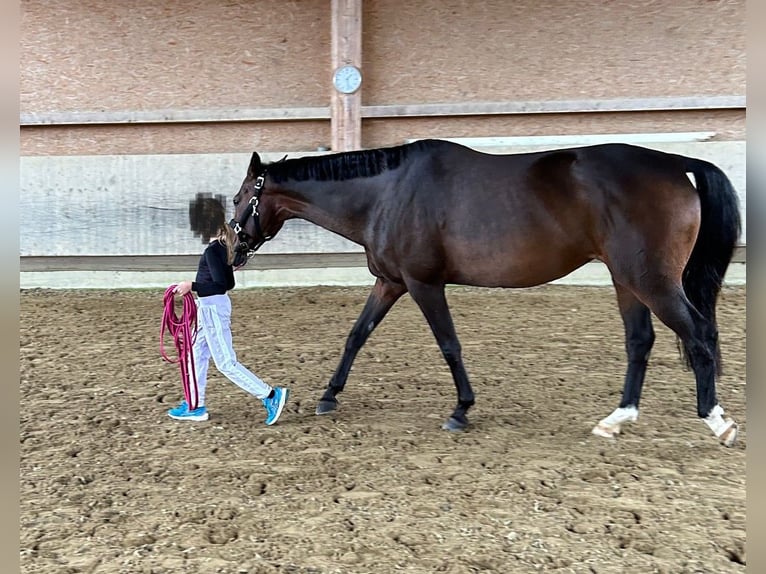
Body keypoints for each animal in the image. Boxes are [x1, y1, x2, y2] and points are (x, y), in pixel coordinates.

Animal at [230, 142, 744, 448]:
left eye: (238, 199)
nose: (230, 249)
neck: (387, 193)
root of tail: (678, 164)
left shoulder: (423, 283)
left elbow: (449, 345)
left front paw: (461, 410)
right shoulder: (390, 282)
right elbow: (356, 336)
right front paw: (329, 396)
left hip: (651, 280)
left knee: (699, 335)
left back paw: (717, 420)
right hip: (627, 281)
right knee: (640, 342)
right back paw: (616, 420)